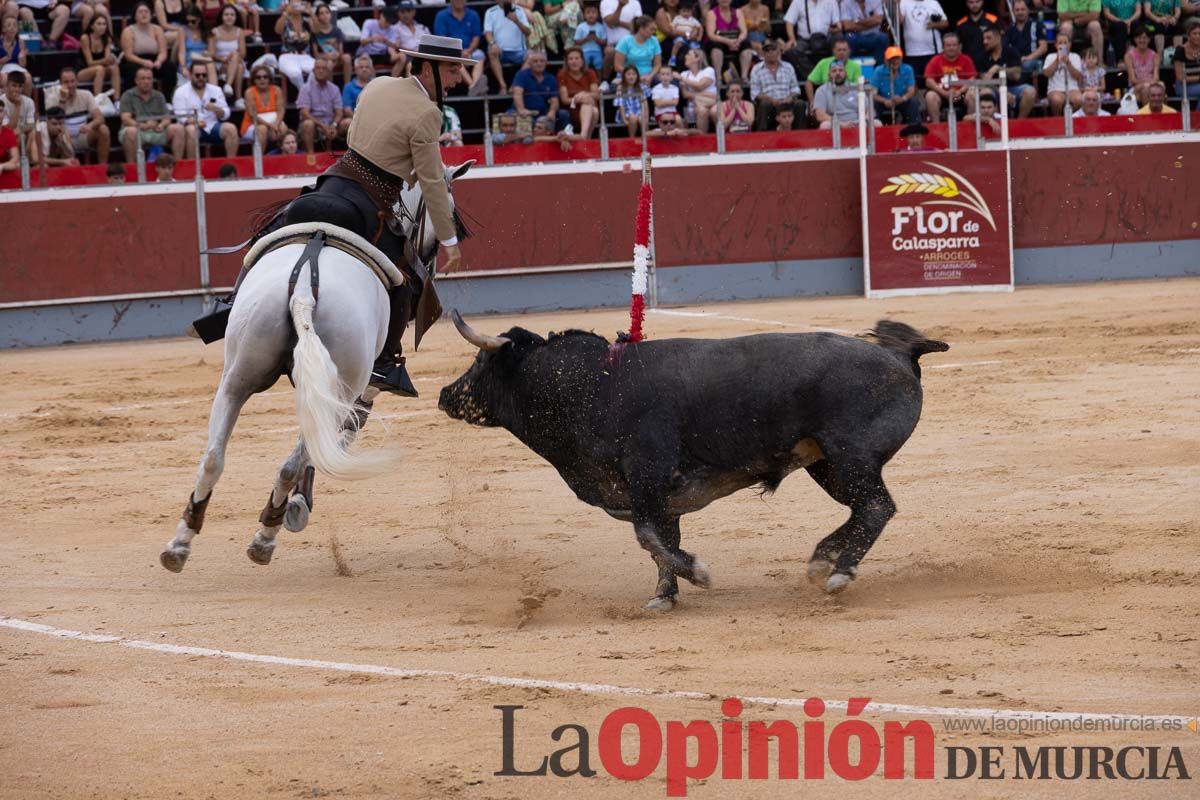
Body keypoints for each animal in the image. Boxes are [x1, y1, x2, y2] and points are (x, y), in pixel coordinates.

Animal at [164, 163, 472, 573]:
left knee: (214, 457)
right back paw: (267, 533)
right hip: (342, 379)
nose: (433, 263)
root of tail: (303, 293)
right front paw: (297, 506)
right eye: (447, 211)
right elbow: (335, 437)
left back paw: (180, 544)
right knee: (293, 461)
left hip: (236, 378)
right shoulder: (362, 387)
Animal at [441, 316, 945, 609]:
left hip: (851, 456)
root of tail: (898, 353)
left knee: (876, 507)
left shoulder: (648, 475)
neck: (594, 385)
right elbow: (661, 539)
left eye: (479, 363)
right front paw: (664, 596)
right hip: (828, 466)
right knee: (862, 509)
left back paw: (839, 573)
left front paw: (697, 574)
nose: (446, 394)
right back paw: (822, 561)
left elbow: (648, 536)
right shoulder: (656, 494)